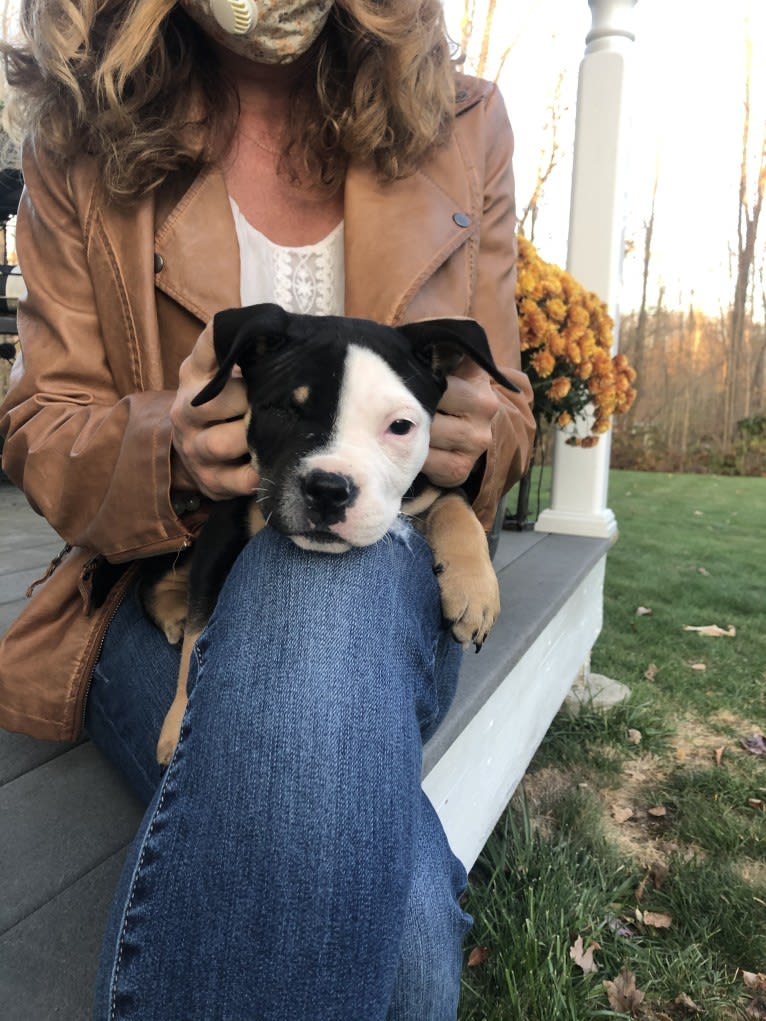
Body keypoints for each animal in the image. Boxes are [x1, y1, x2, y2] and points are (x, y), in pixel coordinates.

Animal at [142, 304, 522, 767]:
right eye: (283, 410)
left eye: (400, 426)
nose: (328, 489)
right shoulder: (222, 528)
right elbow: (198, 636)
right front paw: (179, 725)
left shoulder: (431, 481)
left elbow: (456, 503)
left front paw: (474, 590)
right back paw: (173, 611)